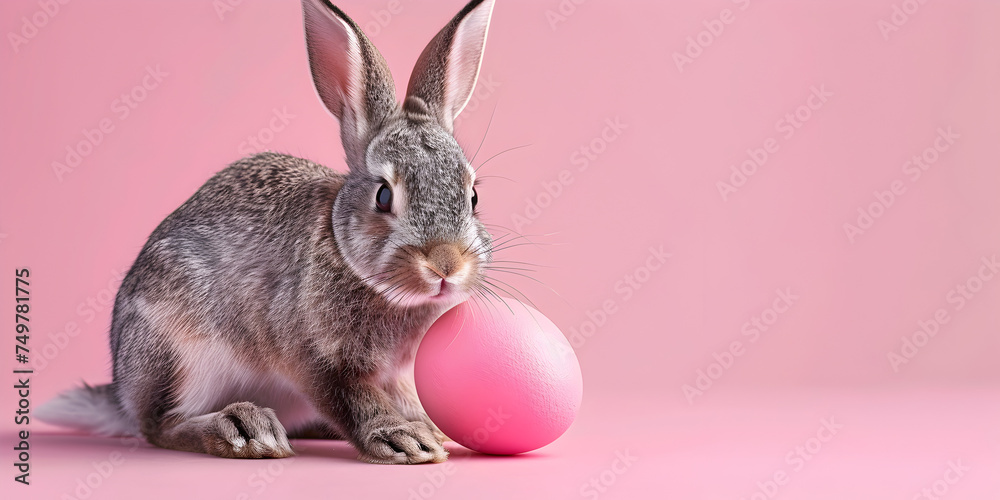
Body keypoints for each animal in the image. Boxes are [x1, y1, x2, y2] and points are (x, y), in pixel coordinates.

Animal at [36, 0, 497, 465]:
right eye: (384, 196)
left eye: (473, 195)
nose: (445, 264)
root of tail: (123, 395)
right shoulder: (317, 360)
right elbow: (353, 399)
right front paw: (404, 438)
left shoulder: (394, 374)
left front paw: (431, 430)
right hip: (177, 353)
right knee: (160, 427)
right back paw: (242, 427)